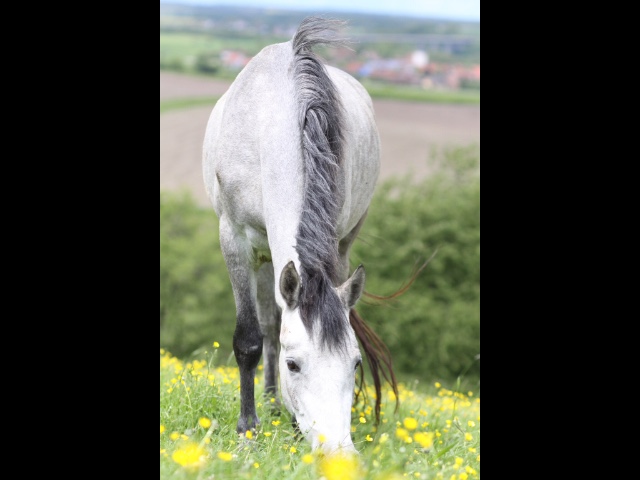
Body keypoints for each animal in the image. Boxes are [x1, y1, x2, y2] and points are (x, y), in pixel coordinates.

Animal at [202, 16, 397, 454]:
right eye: (294, 365)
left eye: (355, 364)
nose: (337, 452)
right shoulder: (234, 241)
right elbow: (249, 339)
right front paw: (247, 429)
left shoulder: (334, 245)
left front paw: (290, 426)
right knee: (268, 326)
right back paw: (270, 401)